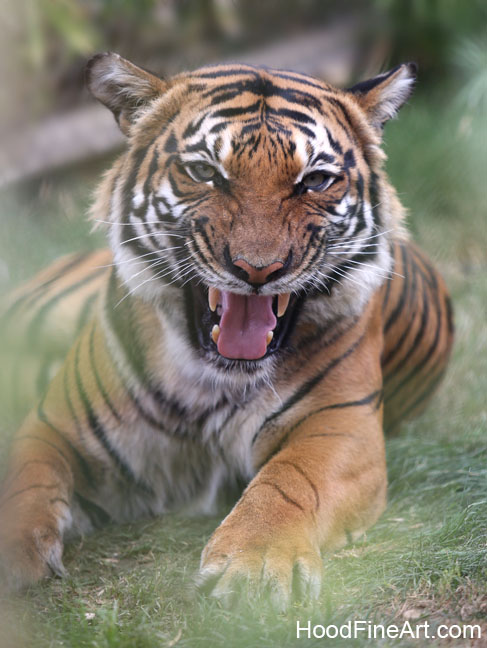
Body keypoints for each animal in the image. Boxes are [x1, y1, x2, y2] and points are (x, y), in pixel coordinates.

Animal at [0, 53, 454, 606]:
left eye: (315, 181)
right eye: (204, 173)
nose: (258, 270)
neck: (208, 379)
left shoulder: (340, 428)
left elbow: (289, 481)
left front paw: (253, 567)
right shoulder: (53, 425)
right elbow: (25, 483)